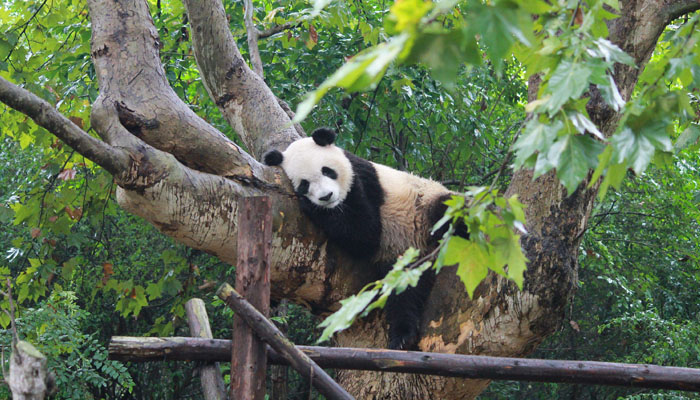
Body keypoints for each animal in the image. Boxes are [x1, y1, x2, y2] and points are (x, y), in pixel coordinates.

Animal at [262, 126, 460, 348]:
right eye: (304, 184)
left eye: (327, 171)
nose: (326, 197)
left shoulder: (361, 179)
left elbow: (366, 233)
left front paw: (313, 207)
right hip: (405, 254)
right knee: (404, 293)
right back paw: (403, 337)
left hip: (426, 205)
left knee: (449, 211)